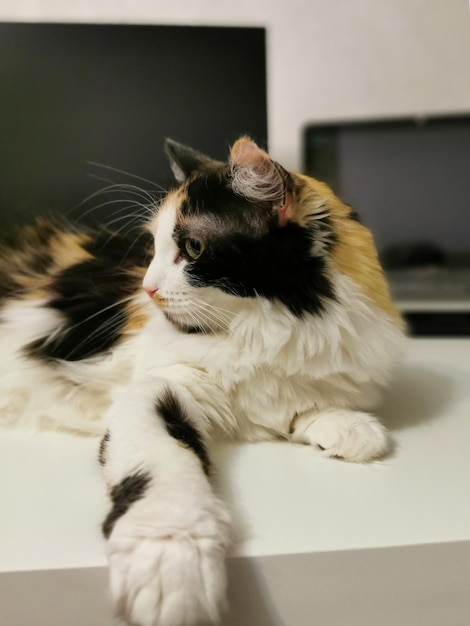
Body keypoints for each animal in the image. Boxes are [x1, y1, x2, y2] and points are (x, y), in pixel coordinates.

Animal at [0, 138, 404, 624]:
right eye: (152, 247)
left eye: (193, 248)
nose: (148, 289)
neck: (261, 329)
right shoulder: (159, 385)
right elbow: (163, 462)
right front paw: (169, 556)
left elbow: (305, 401)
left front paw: (347, 425)